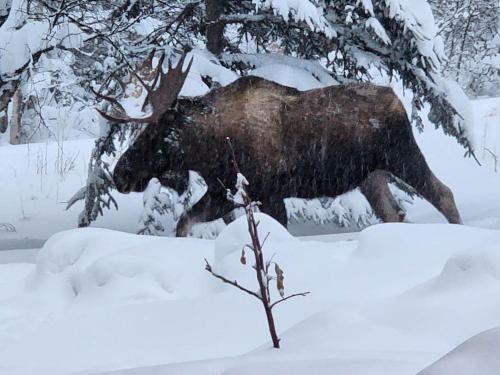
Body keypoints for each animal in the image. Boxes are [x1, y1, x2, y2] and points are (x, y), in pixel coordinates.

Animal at [95, 51, 462, 236]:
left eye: (152, 135)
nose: (120, 174)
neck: (209, 149)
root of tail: (397, 99)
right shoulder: (223, 192)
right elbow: (184, 221)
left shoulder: (269, 193)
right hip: (371, 176)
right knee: (394, 214)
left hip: (402, 155)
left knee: (444, 193)